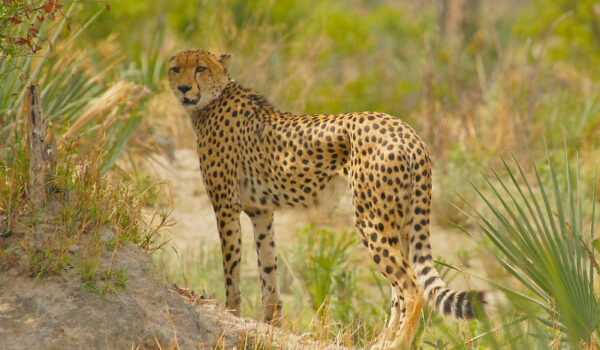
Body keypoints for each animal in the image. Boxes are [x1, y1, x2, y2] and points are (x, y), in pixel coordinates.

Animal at [166, 50, 486, 348]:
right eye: (175, 69)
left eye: (201, 68)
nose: (183, 89)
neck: (213, 98)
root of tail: (408, 131)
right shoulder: (261, 212)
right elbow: (268, 271)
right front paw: (269, 326)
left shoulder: (226, 206)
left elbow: (231, 270)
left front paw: (231, 316)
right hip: (402, 223)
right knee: (399, 289)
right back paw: (383, 340)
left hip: (370, 219)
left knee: (411, 288)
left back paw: (397, 343)